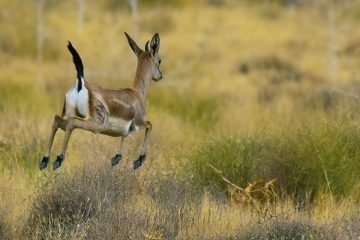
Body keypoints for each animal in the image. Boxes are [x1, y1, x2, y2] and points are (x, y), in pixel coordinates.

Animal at [39, 32, 162, 171]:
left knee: (57, 120)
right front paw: (139, 160)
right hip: (96, 124)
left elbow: (124, 135)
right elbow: (150, 125)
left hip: (70, 115)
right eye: (159, 60)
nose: (160, 76)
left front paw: (116, 158)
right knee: (72, 122)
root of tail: (81, 83)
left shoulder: (125, 130)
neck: (137, 94)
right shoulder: (139, 123)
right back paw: (59, 159)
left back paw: (44, 161)